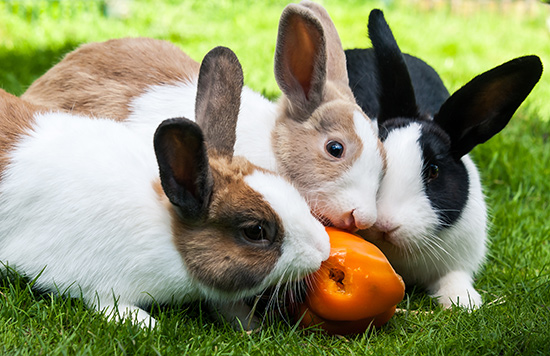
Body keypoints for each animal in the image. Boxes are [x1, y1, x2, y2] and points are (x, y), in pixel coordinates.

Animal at [0, 46, 332, 328]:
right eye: (255, 231)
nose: (323, 248)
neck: (171, 235)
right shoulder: (102, 285)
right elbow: (111, 306)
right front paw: (147, 325)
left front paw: (248, 324)